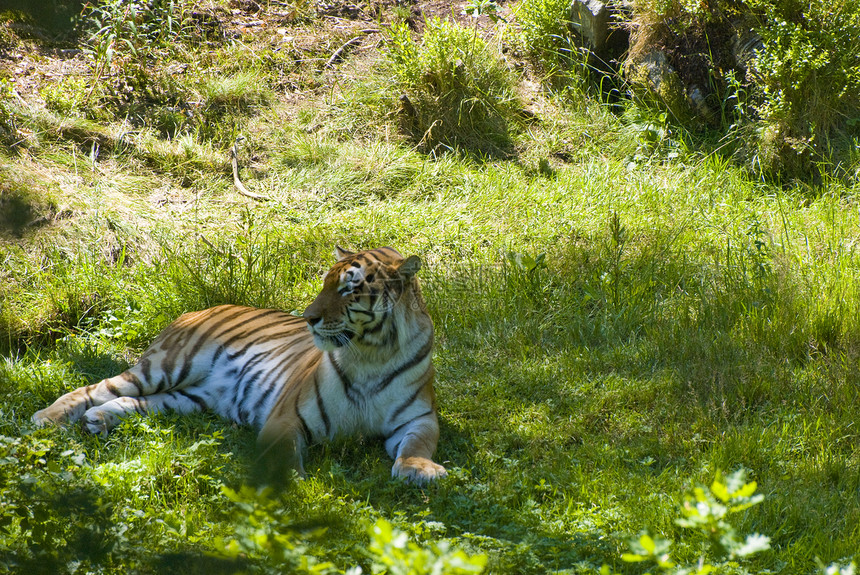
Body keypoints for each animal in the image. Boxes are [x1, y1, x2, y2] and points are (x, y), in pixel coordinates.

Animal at [30, 248, 446, 486]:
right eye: (325, 283)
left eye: (349, 288)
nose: (309, 318)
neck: (371, 353)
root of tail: (198, 308)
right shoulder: (285, 418)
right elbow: (284, 456)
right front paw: (290, 485)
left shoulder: (419, 418)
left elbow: (418, 444)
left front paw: (420, 470)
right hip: (167, 365)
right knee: (96, 388)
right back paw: (48, 418)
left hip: (191, 398)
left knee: (136, 403)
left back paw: (99, 420)